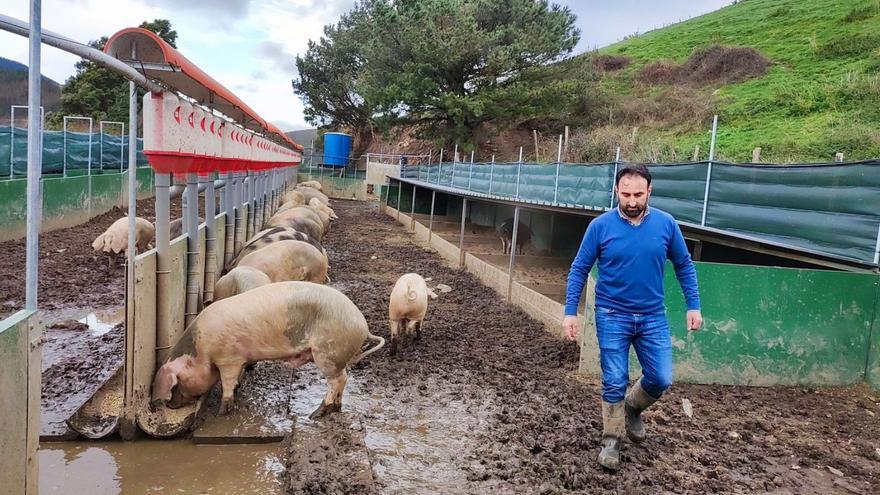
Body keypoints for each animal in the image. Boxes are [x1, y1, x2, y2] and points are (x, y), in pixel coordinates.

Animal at [151, 282, 384, 418]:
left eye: (177, 383)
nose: (170, 406)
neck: (201, 351)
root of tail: (363, 325)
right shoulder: (240, 358)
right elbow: (238, 377)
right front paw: (239, 388)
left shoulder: (228, 358)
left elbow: (227, 382)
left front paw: (222, 413)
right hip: (336, 354)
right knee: (344, 379)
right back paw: (336, 408)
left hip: (327, 352)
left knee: (337, 380)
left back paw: (316, 414)